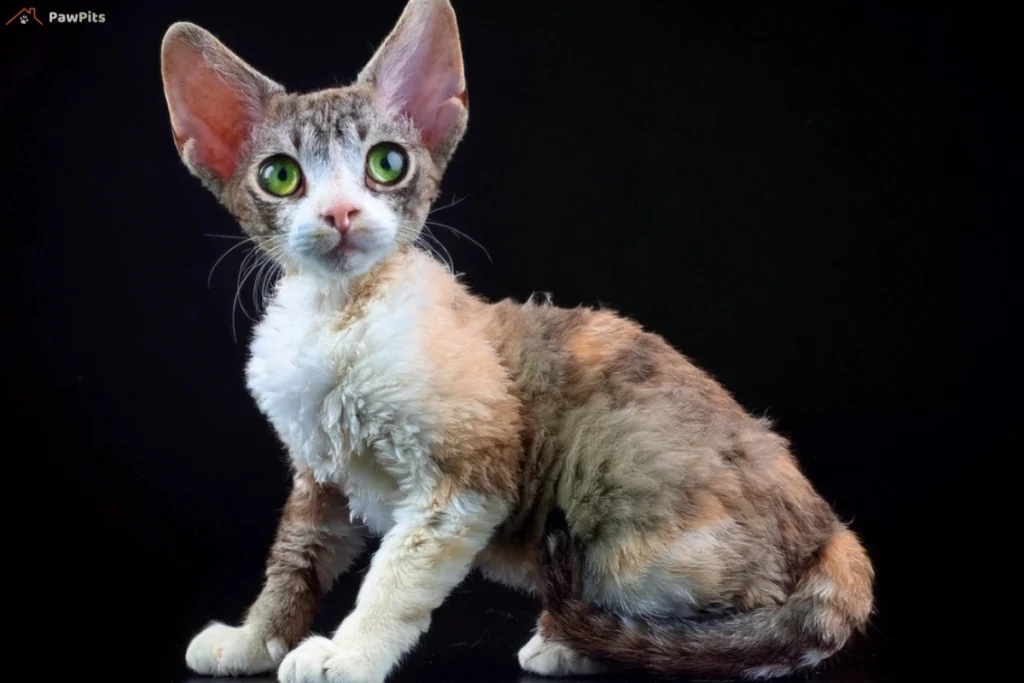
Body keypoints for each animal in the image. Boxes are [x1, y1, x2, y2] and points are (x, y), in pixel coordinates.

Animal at [159, 1, 872, 683]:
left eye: (386, 163)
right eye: (280, 176)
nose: (340, 214)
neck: (339, 313)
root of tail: (831, 524)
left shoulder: (466, 478)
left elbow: (395, 577)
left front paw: (348, 654)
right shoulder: (318, 475)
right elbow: (292, 562)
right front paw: (253, 639)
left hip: (629, 508)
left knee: (767, 624)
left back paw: (590, 644)